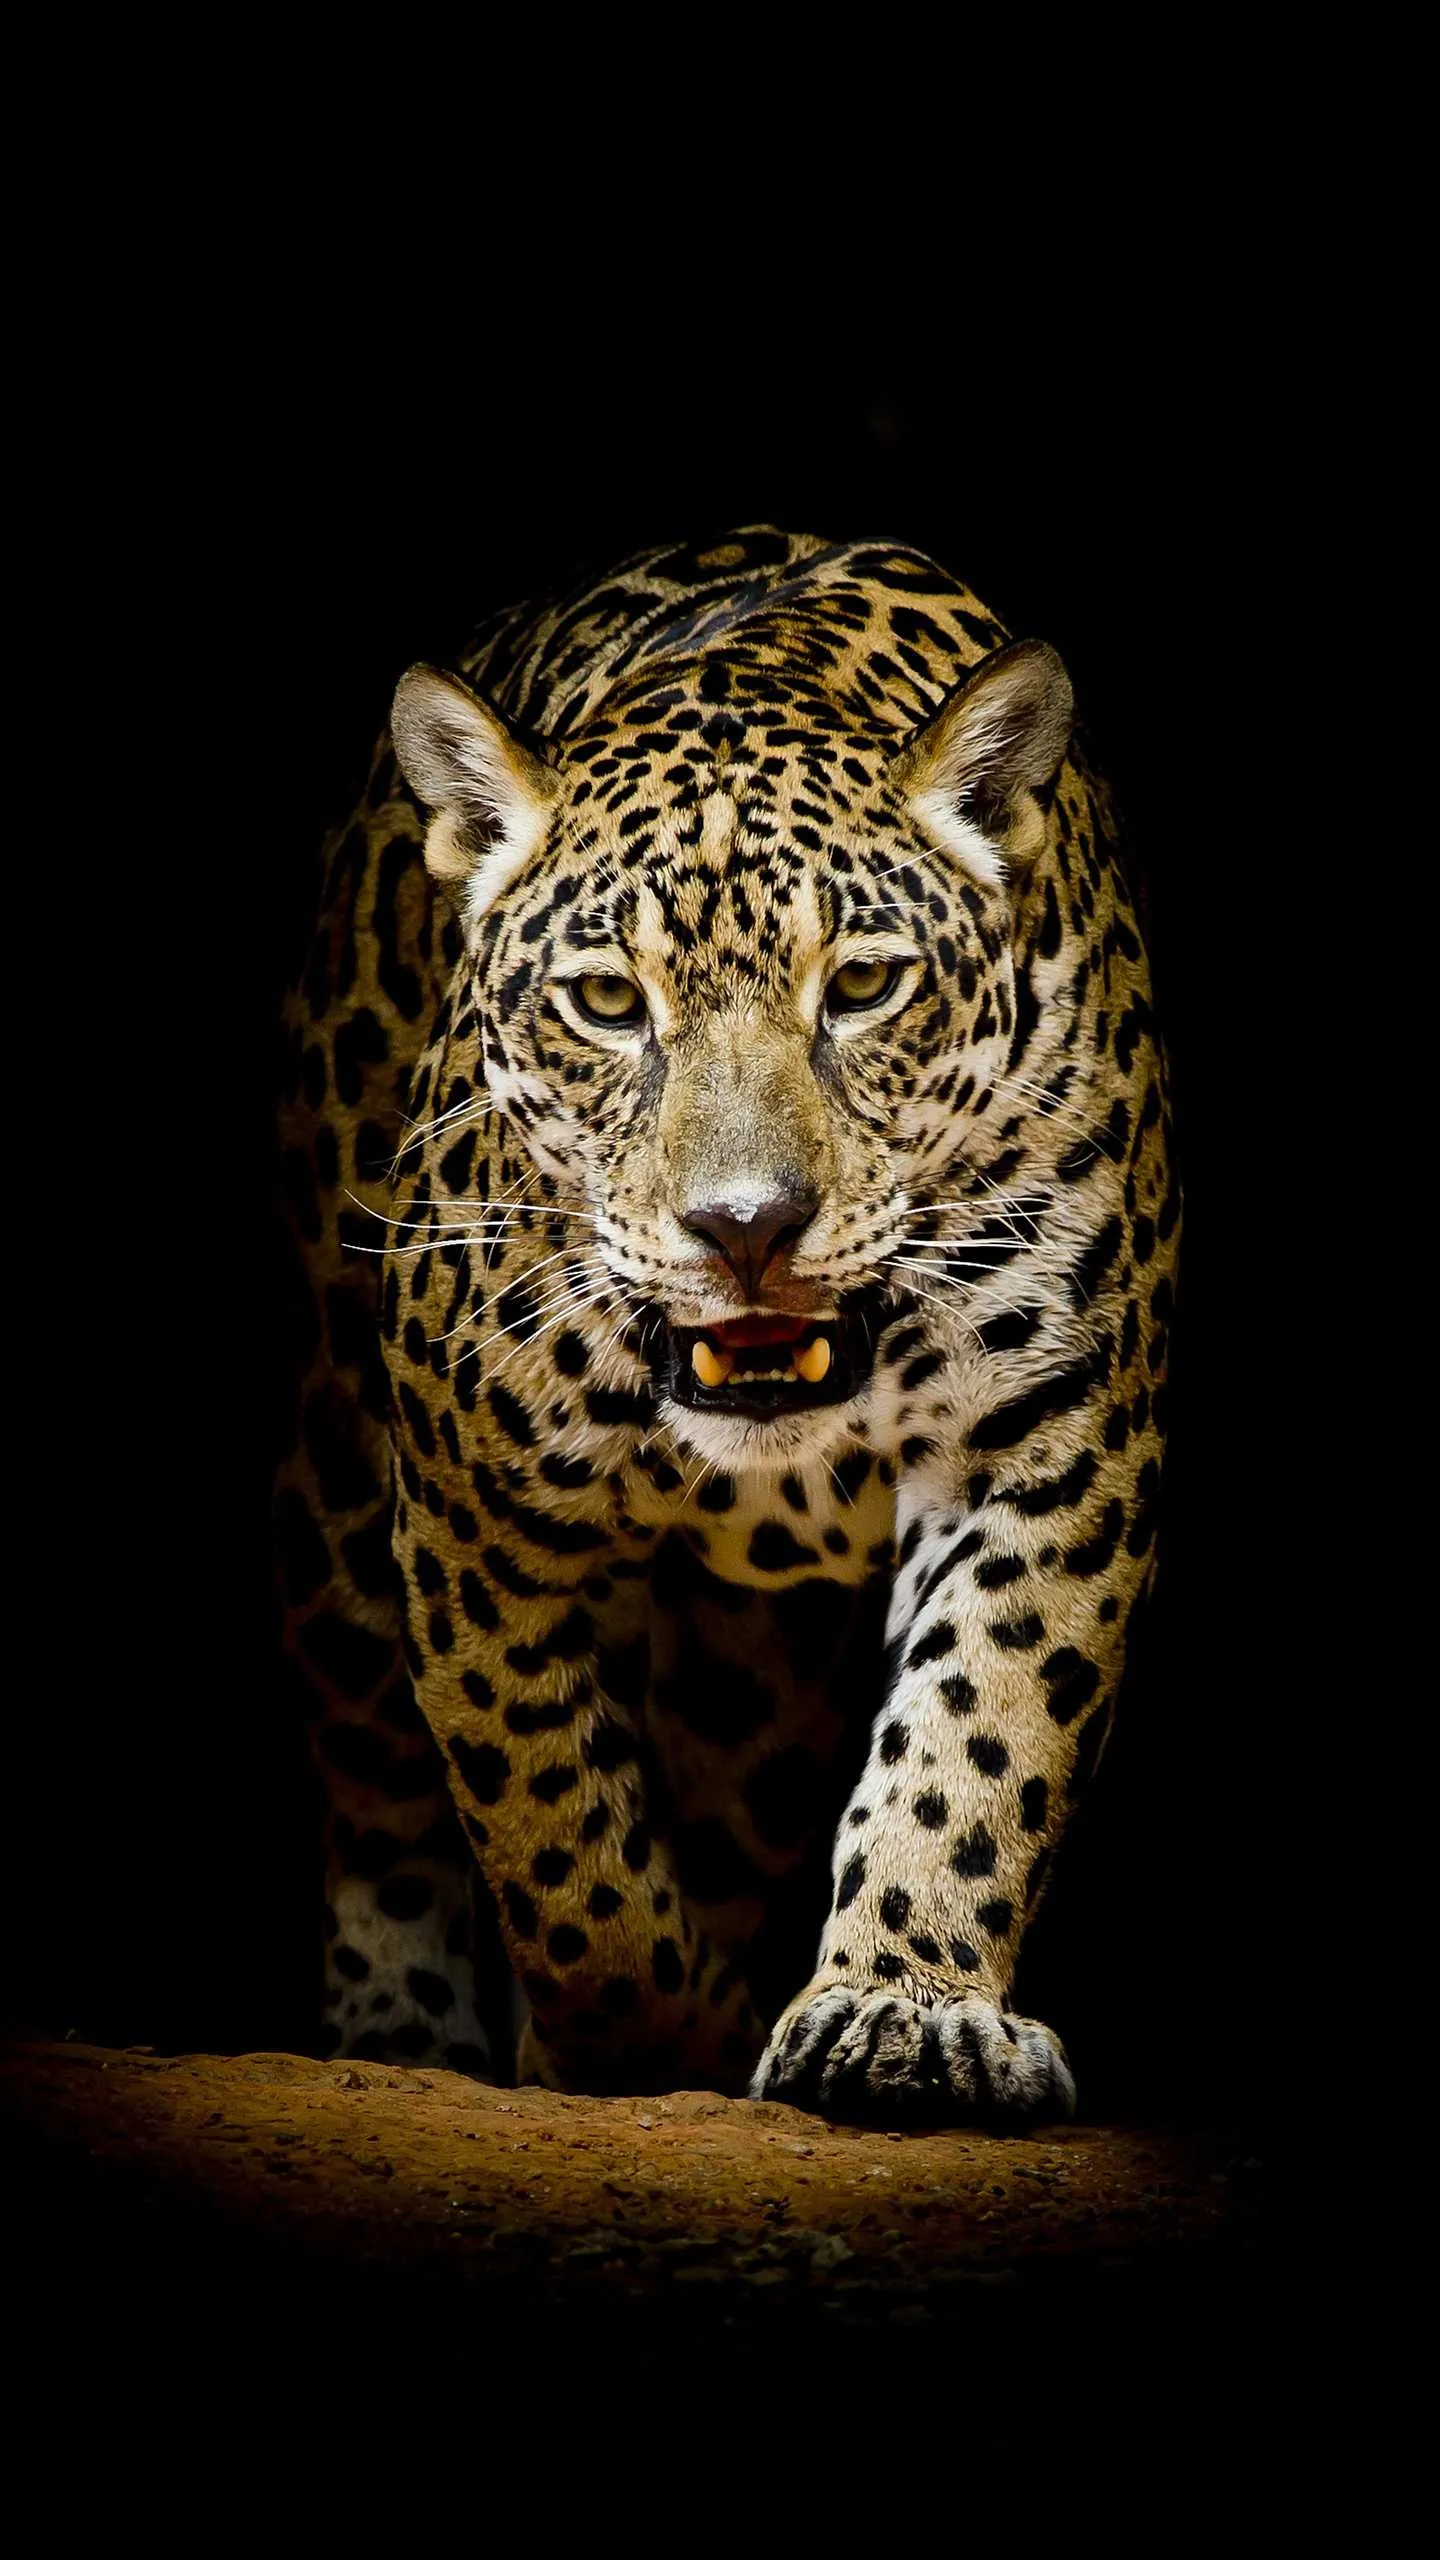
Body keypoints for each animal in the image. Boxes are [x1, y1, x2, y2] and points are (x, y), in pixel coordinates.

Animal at [275, 525, 1179, 2125]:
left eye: (865, 985)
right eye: (606, 1001)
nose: (746, 1225)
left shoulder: (1052, 1441)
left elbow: (982, 1726)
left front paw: (901, 2011)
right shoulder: (470, 1511)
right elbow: (554, 1831)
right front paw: (644, 2044)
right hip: (333, 1488)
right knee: (377, 1779)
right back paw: (396, 2029)